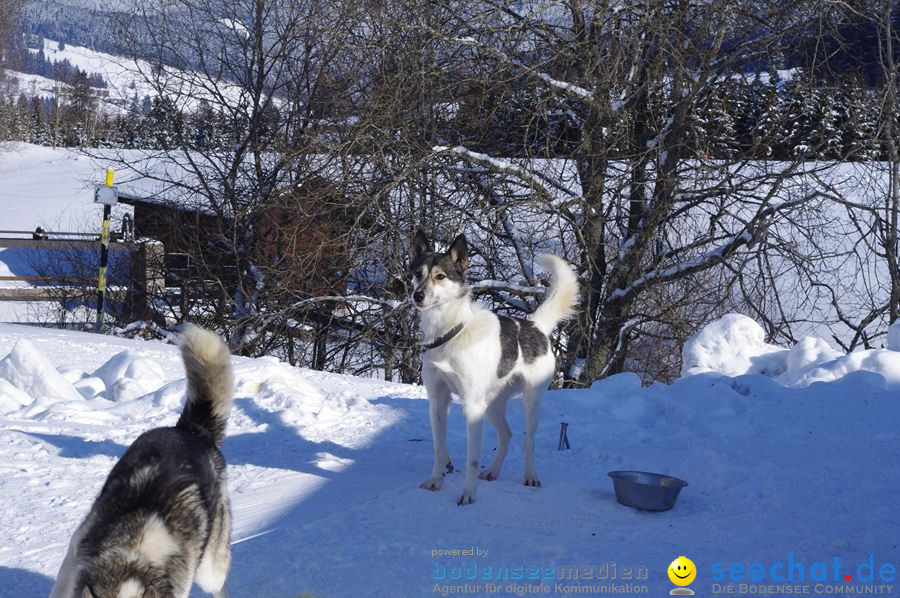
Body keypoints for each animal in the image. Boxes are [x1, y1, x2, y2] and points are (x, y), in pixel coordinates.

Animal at [412, 230, 580, 506]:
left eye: (440, 276)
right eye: (418, 273)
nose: (417, 295)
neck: (450, 332)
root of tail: (536, 326)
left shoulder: (472, 407)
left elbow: (472, 459)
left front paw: (468, 494)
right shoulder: (437, 403)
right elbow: (439, 448)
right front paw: (436, 480)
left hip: (528, 402)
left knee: (528, 442)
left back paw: (530, 476)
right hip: (491, 405)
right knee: (507, 435)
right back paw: (493, 471)